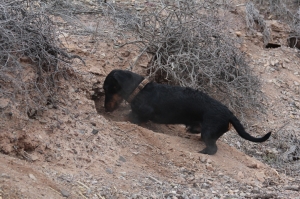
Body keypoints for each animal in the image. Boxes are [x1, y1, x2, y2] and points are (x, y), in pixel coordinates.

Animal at [103, 70, 272, 155]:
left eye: (107, 89)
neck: (140, 90)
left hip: (208, 131)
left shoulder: (140, 114)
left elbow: (132, 117)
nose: (105, 108)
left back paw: (203, 151)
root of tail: (229, 114)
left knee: (213, 148)